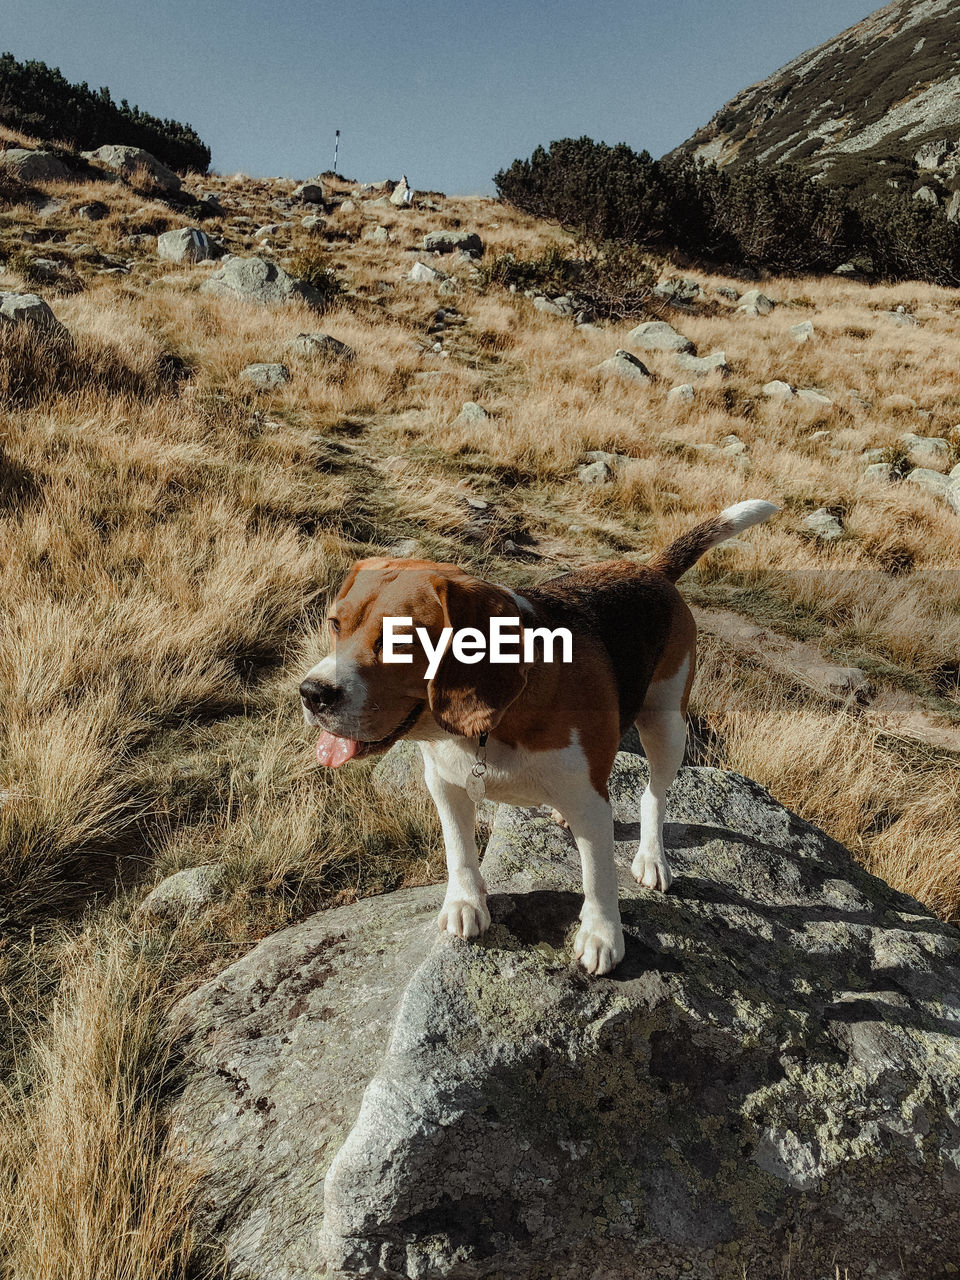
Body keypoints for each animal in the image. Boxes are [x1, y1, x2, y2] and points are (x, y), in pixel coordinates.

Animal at [304, 499, 778, 967]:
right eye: (335, 624)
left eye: (399, 640)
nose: (311, 693)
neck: (488, 728)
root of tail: (651, 569)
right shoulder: (444, 781)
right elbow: (459, 850)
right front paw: (465, 902)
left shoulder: (589, 802)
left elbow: (599, 875)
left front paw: (602, 934)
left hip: (666, 726)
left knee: (654, 795)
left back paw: (651, 857)